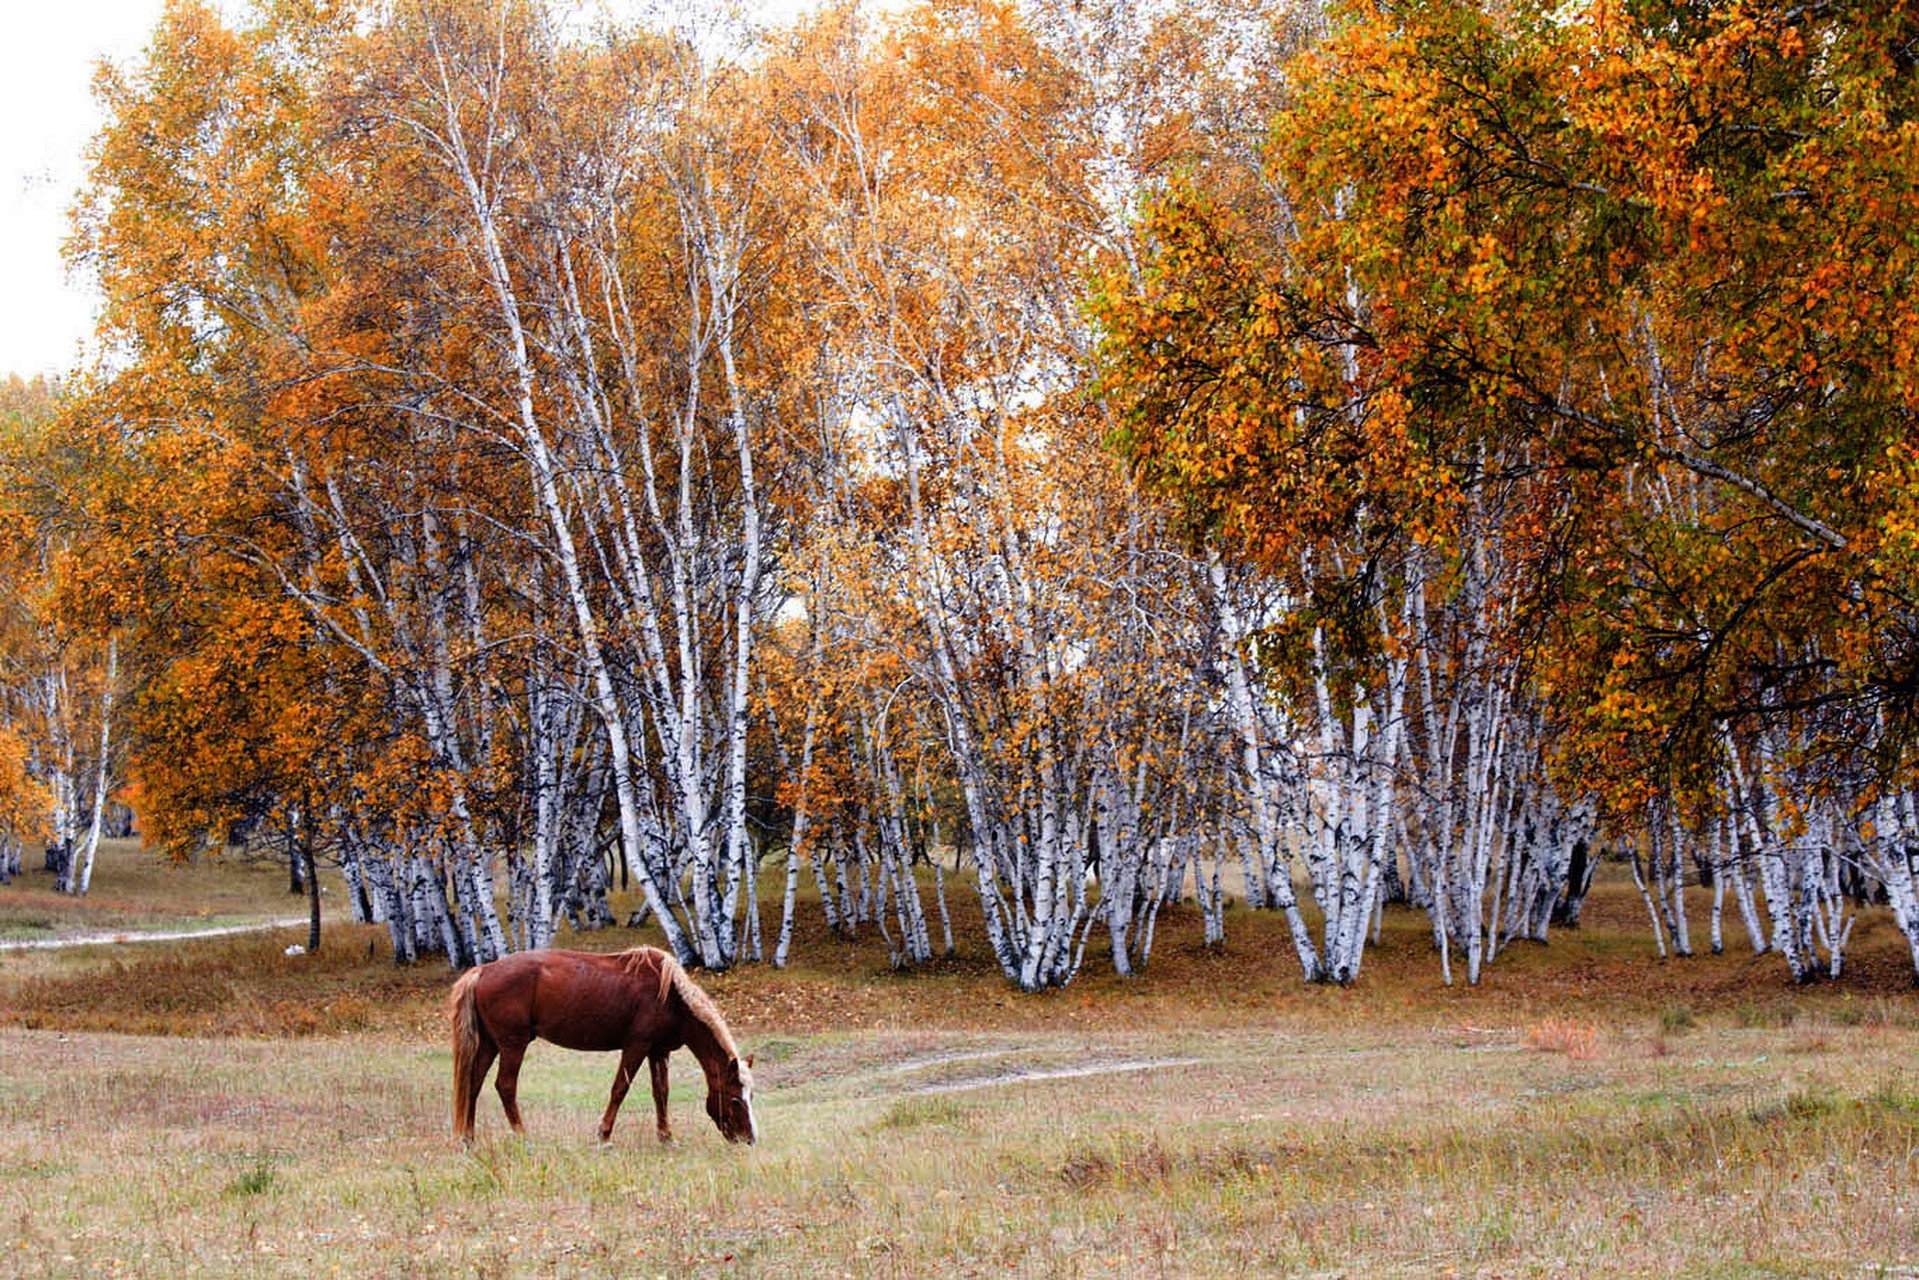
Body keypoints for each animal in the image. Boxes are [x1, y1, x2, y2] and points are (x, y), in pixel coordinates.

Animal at [445, 940, 752, 1151]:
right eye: (735, 1099)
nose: (749, 1140)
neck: (671, 996)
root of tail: (483, 971)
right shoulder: (636, 1047)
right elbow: (620, 1089)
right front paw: (604, 1136)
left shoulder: (658, 1051)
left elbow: (661, 1093)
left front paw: (666, 1138)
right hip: (512, 1045)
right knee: (505, 1086)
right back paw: (523, 1137)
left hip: (490, 1044)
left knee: (473, 1085)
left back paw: (468, 1140)